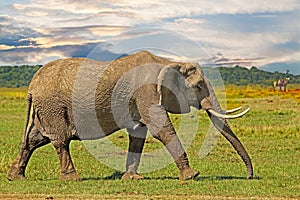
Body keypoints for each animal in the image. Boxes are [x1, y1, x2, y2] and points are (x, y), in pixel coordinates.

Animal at [6, 50, 253, 181]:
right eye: (199, 86)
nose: (250, 176)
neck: (168, 62)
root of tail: (31, 86)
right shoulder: (147, 92)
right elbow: (161, 129)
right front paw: (192, 176)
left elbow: (138, 134)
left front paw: (132, 178)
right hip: (53, 106)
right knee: (60, 140)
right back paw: (71, 178)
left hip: (45, 108)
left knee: (34, 139)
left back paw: (15, 177)